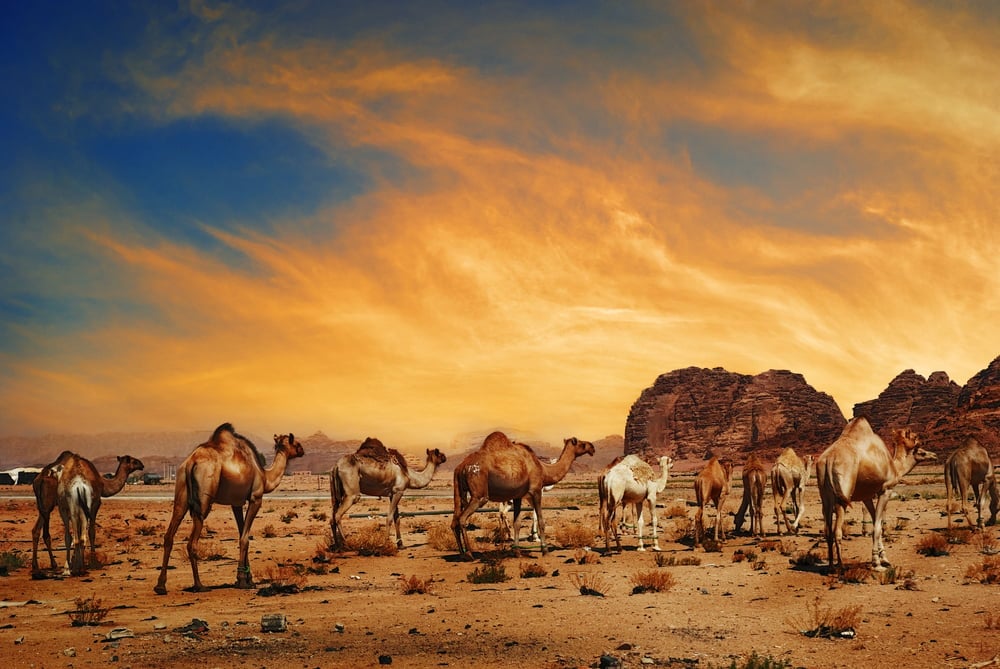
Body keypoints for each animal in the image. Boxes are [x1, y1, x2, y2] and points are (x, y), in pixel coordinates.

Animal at [31, 448, 144, 576]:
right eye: (134, 461)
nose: (142, 465)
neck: (103, 483)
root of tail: (40, 479)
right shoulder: (95, 503)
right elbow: (91, 532)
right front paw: (91, 561)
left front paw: (74, 562)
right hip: (49, 504)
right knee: (46, 532)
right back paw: (54, 565)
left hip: (43, 506)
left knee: (36, 530)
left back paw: (37, 566)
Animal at [154, 426, 302, 592]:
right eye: (296, 442)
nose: (302, 450)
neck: (265, 477)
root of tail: (191, 462)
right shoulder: (255, 498)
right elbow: (244, 538)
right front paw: (242, 581)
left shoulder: (236, 503)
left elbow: (242, 535)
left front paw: (248, 580)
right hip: (204, 497)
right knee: (192, 542)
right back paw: (199, 585)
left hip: (181, 491)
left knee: (170, 532)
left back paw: (160, 586)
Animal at [452, 430, 592, 556]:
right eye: (582, 443)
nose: (592, 447)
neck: (544, 469)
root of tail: (461, 466)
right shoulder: (536, 491)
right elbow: (540, 520)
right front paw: (544, 548)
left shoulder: (518, 496)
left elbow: (517, 523)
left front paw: (517, 551)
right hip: (479, 493)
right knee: (462, 518)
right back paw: (469, 553)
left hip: (459, 490)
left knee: (454, 521)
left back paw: (462, 552)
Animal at [820, 418, 936, 568]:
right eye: (915, 438)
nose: (934, 455)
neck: (895, 467)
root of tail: (829, 459)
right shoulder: (886, 490)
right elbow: (877, 527)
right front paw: (876, 561)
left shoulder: (866, 496)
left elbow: (876, 521)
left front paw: (883, 557)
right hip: (843, 494)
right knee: (837, 530)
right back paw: (841, 566)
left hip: (825, 495)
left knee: (827, 529)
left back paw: (830, 565)